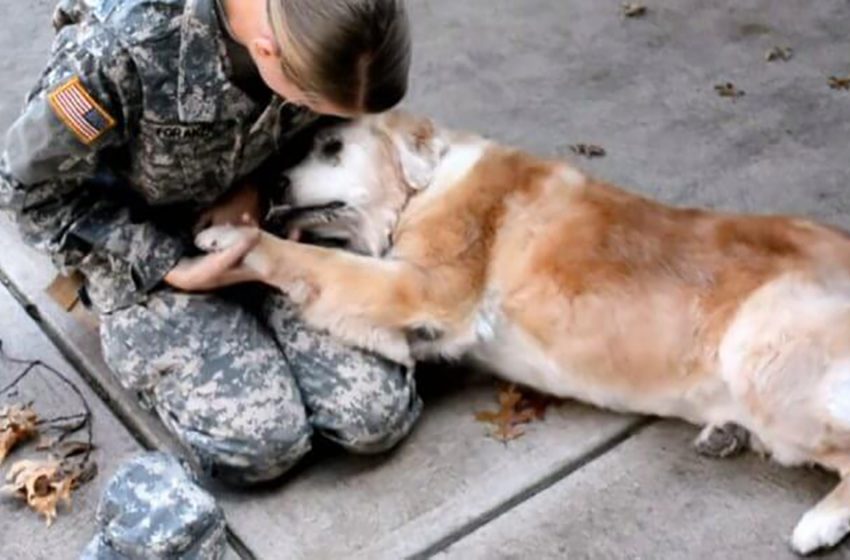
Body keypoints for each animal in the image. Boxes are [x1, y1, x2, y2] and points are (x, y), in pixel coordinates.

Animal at [199, 111, 850, 552]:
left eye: (333, 148)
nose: (274, 186)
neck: (423, 189)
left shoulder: (424, 287)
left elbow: (313, 261)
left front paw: (233, 239)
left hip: (762, 351)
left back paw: (821, 521)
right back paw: (726, 433)